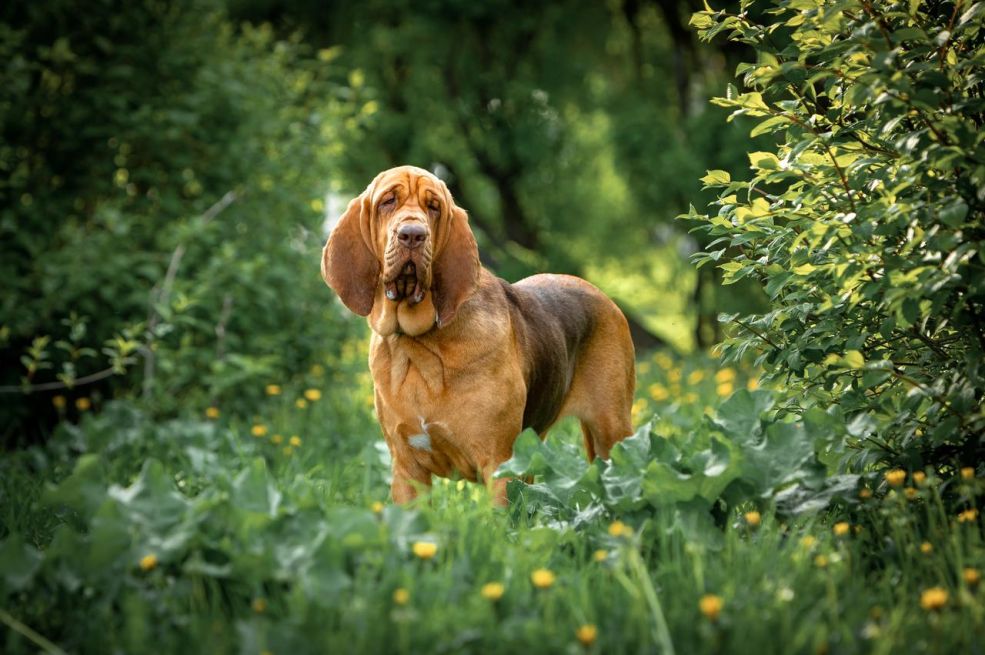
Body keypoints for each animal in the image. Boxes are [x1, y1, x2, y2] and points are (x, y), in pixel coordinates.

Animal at [320, 167, 636, 504]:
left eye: (434, 207)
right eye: (387, 201)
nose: (413, 235)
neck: (420, 346)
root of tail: (602, 295)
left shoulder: (498, 464)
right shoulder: (407, 470)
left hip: (612, 432)